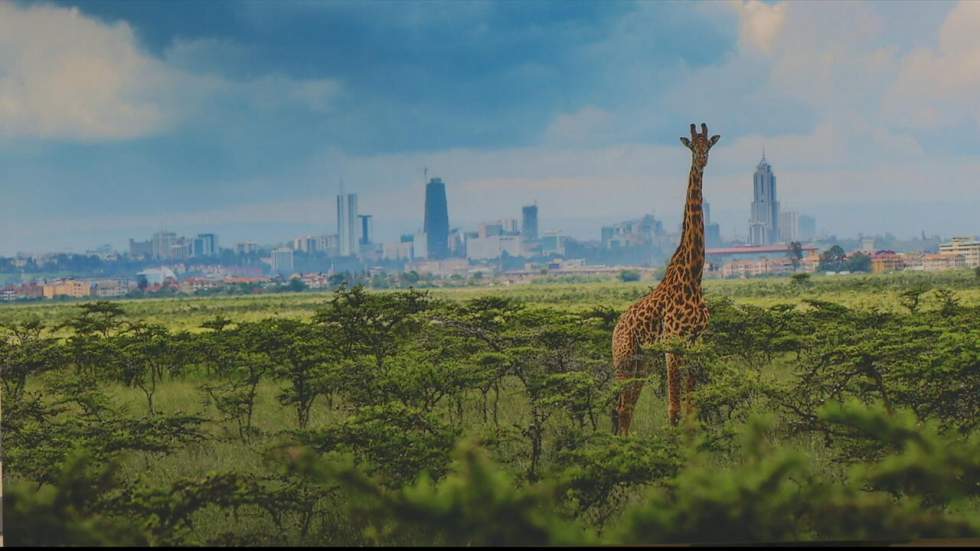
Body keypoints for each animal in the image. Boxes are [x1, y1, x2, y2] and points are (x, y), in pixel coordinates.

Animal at [612, 123, 720, 438]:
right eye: (692, 146)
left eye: (709, 145)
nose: (702, 160)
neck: (693, 277)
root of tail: (616, 327)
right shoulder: (673, 342)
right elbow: (673, 409)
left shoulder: (695, 341)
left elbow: (692, 406)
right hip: (624, 357)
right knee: (621, 406)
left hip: (642, 361)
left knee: (628, 407)